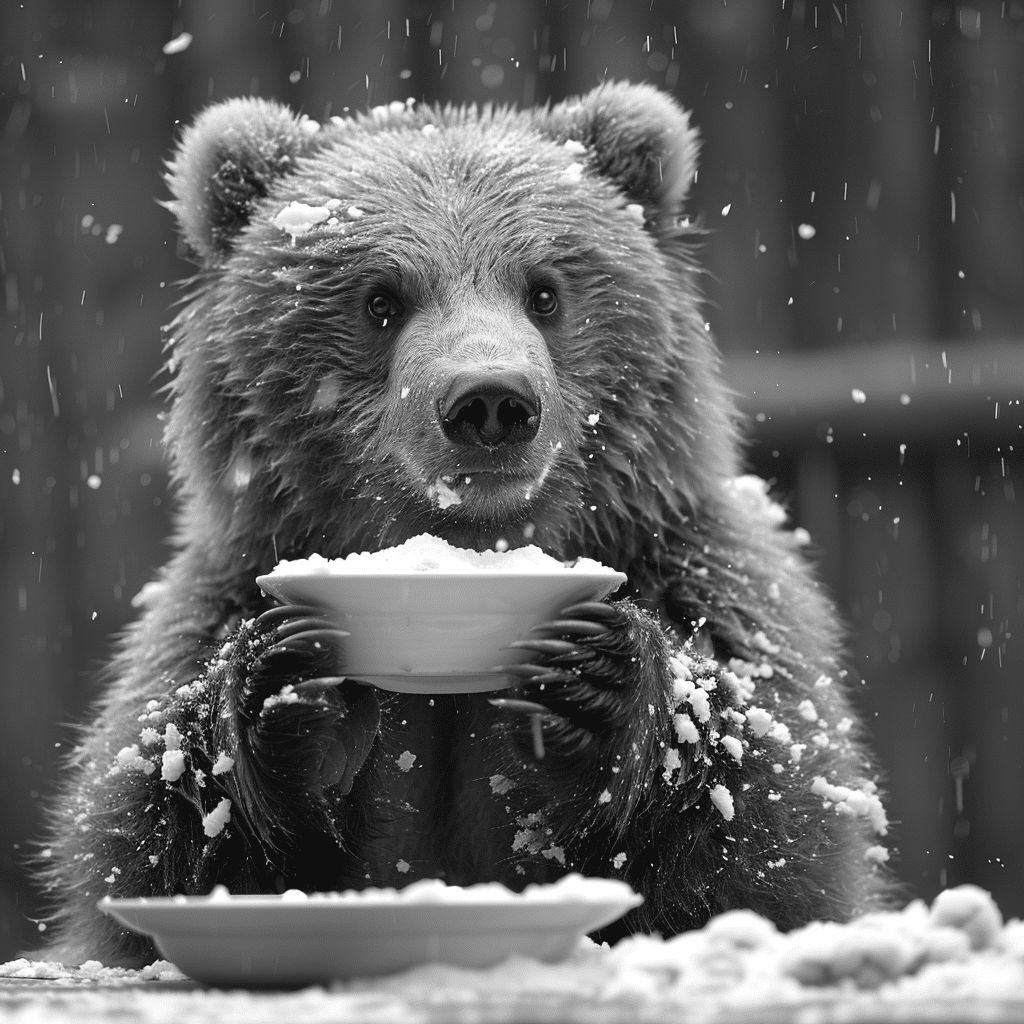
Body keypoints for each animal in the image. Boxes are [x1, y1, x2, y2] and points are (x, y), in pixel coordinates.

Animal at [39, 82, 892, 967]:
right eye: (381, 299)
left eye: (544, 291)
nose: (490, 401)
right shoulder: (219, 596)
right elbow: (146, 831)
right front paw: (288, 695)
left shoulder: (699, 578)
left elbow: (765, 835)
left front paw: (600, 678)